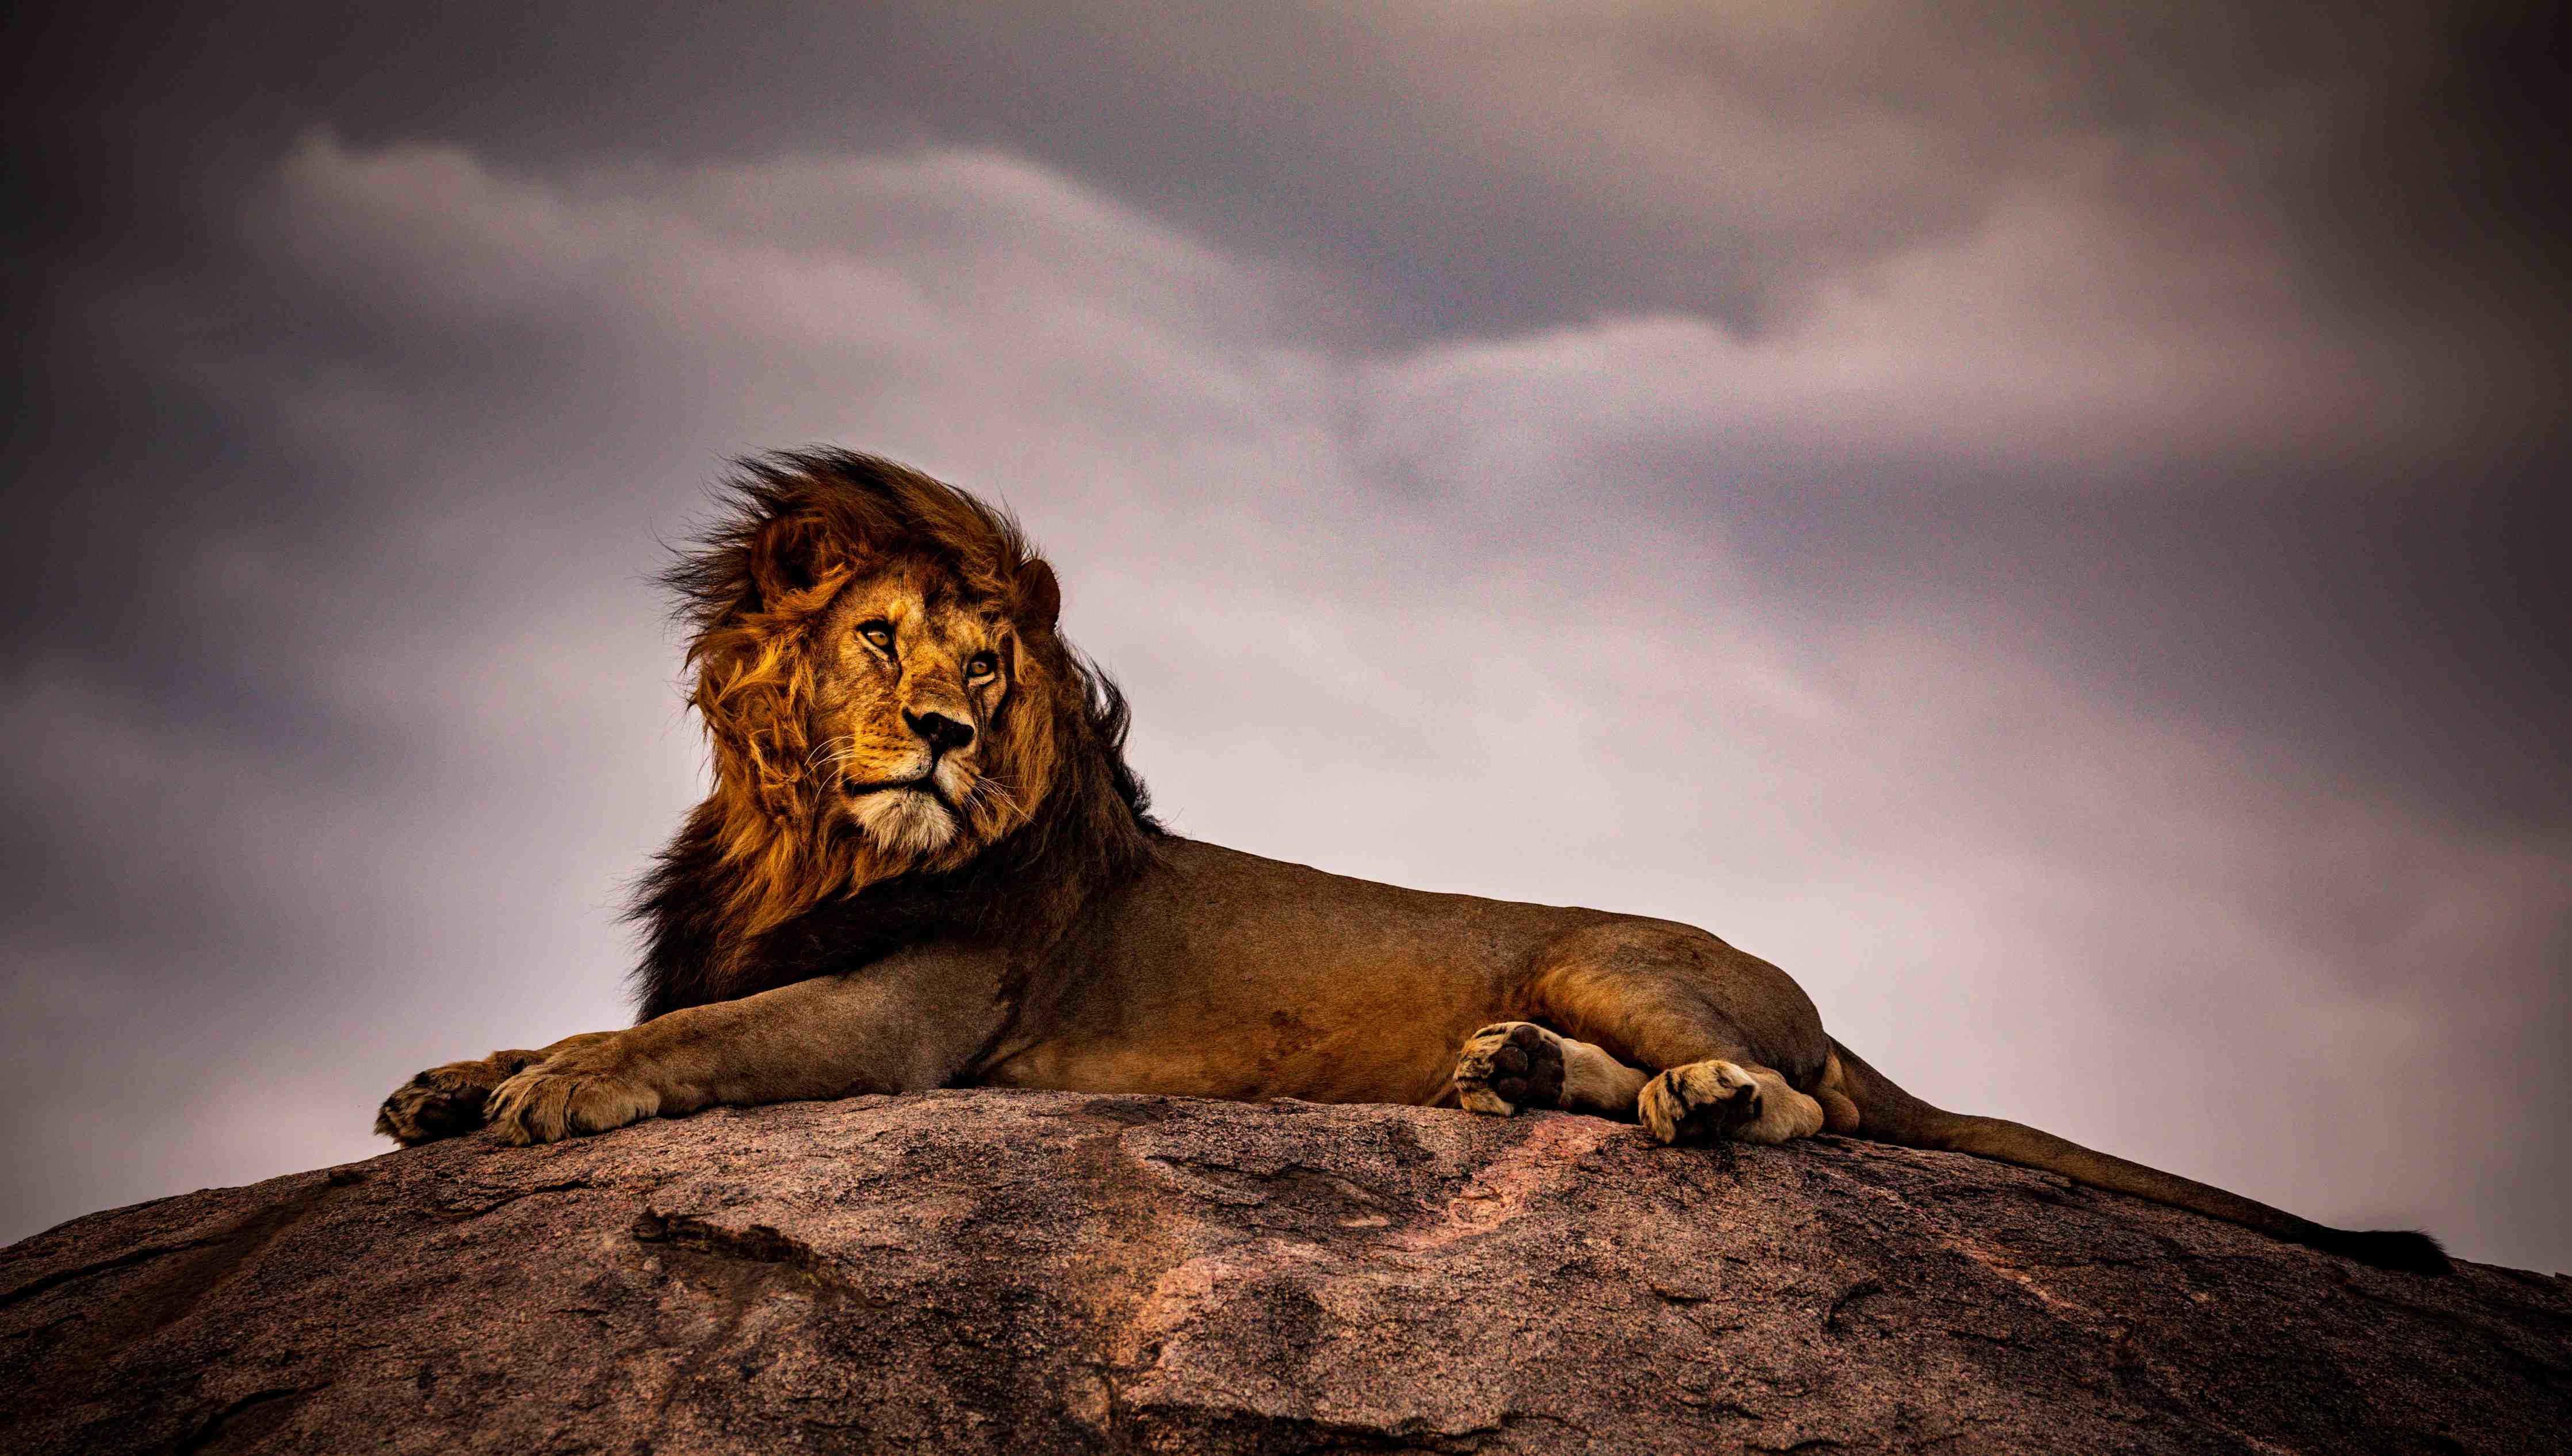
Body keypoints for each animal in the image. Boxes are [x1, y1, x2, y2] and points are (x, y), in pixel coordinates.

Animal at [377, 450, 2448, 1274]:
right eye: (885, 643)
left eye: (995, 670)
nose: (952, 739)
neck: (798, 838)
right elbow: (583, 1019)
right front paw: (450, 1079)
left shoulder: (918, 1018)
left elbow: (691, 1040)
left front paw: (561, 1090)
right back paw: (1533, 1078)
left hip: (1619, 950)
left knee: (1814, 1110)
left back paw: (1696, 1096)